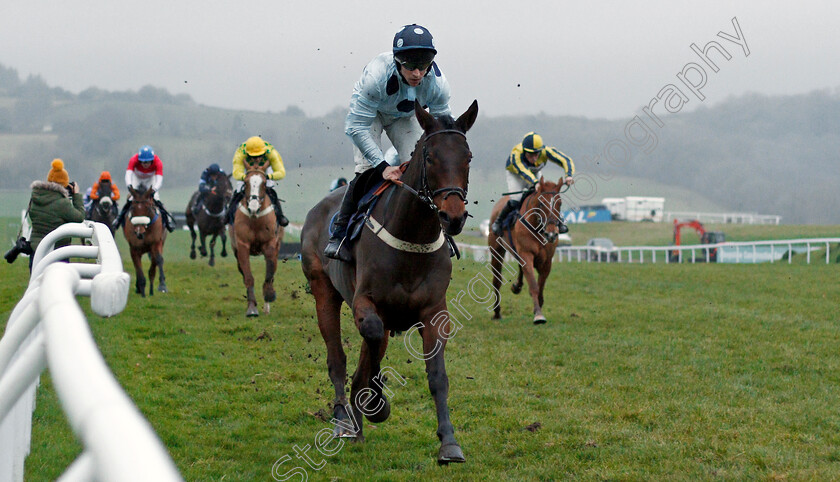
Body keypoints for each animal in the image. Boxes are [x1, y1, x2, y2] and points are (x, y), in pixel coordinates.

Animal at [228, 160, 284, 318]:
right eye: (246, 182)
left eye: (264, 183)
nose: (253, 207)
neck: (255, 219)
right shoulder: (242, 246)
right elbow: (248, 277)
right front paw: (252, 308)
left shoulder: (270, 244)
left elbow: (269, 273)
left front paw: (269, 295)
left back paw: (267, 305)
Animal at [298, 100, 476, 466]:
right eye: (430, 157)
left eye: (467, 156)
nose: (452, 217)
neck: (412, 236)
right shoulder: (366, 304)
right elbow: (371, 338)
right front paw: (375, 405)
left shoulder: (435, 312)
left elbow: (437, 377)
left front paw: (449, 443)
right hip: (324, 292)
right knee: (338, 359)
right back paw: (343, 420)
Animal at [486, 177, 564, 324]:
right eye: (541, 203)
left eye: (560, 203)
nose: (551, 234)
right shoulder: (526, 254)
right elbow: (533, 285)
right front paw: (538, 315)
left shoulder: (547, 261)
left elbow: (540, 288)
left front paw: (537, 307)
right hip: (496, 250)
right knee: (496, 281)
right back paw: (497, 312)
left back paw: (517, 286)